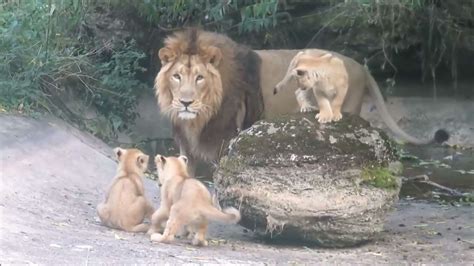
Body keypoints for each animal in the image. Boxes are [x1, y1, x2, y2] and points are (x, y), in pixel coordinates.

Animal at [156, 28, 448, 175]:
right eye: (177, 76)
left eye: (200, 78)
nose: (185, 103)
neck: (200, 118)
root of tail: (362, 68)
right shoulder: (187, 149)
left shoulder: (225, 144)